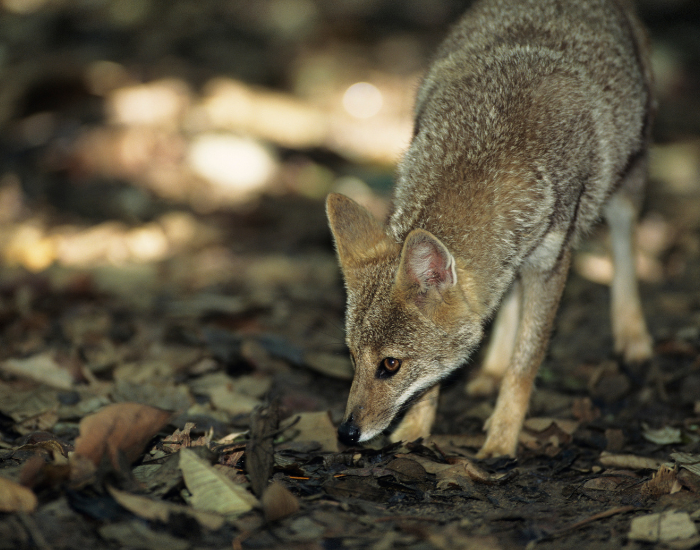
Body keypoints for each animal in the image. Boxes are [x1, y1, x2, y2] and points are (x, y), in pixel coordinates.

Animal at [326, 0, 654, 458]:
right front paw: (415, 432)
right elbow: (436, 379)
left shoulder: (550, 263)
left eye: (390, 365)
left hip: (628, 184)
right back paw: (491, 368)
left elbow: (526, 363)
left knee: (625, 248)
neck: (483, 151)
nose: (347, 433)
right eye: (353, 359)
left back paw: (632, 335)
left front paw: (501, 440)